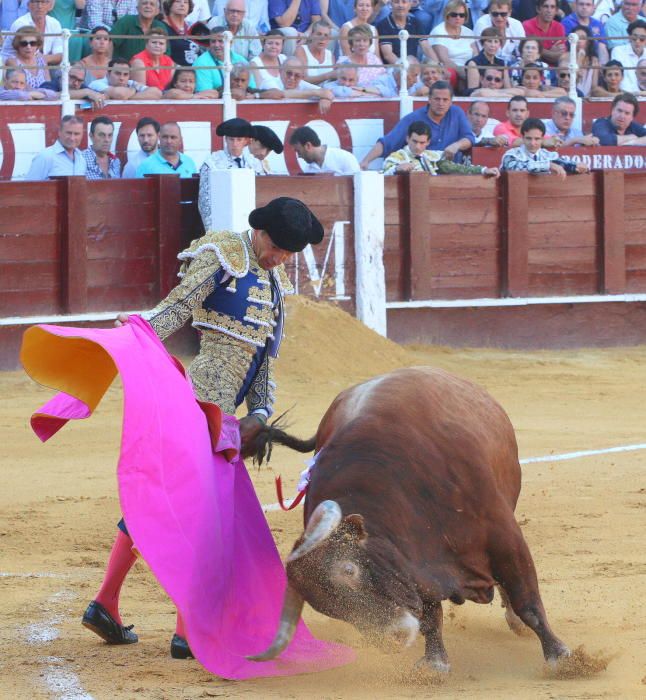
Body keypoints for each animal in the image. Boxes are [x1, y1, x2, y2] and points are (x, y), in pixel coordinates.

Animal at [248, 366, 572, 672]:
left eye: (350, 570)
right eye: (325, 606)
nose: (391, 639)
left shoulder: (504, 536)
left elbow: (527, 600)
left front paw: (560, 655)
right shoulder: (411, 562)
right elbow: (429, 614)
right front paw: (434, 662)